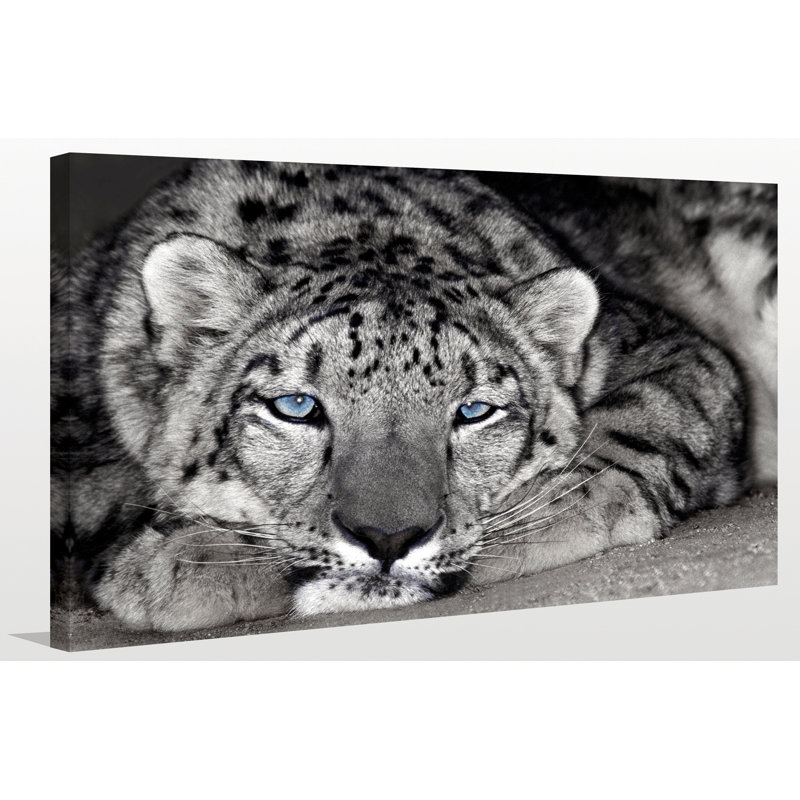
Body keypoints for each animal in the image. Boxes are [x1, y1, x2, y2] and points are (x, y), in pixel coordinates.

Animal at [50, 157, 776, 636]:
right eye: (296, 406)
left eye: (474, 410)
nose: (388, 536)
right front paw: (180, 554)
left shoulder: (667, 345)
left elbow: (651, 414)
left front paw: (558, 508)